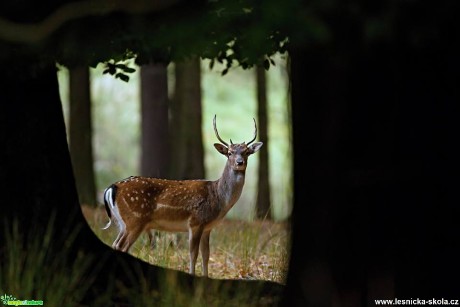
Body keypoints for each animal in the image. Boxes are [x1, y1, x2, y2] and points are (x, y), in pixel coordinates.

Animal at [103, 115, 264, 276]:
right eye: (229, 152)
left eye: (246, 152)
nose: (240, 162)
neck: (218, 198)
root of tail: (113, 187)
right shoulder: (195, 221)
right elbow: (193, 254)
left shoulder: (207, 227)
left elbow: (206, 255)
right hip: (135, 220)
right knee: (122, 247)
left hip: (122, 223)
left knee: (115, 244)